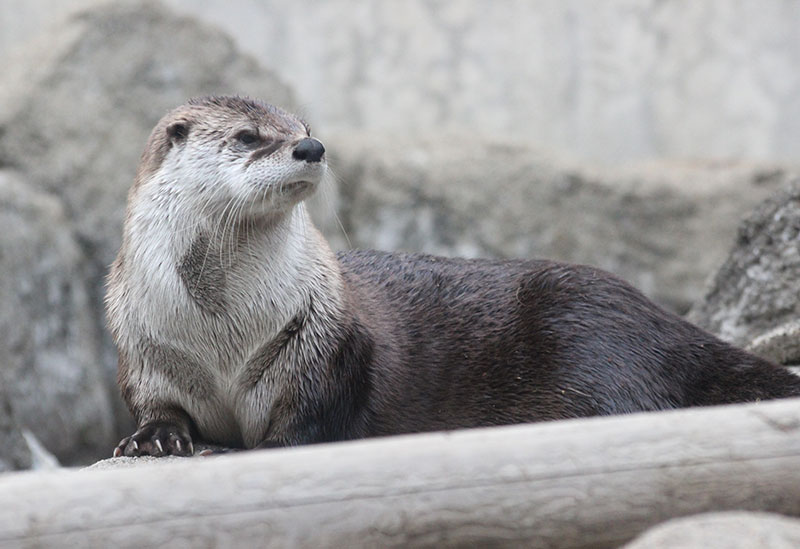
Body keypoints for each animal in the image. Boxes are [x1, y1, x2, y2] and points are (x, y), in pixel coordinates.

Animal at [108, 96, 800, 456]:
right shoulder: (143, 348)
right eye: (250, 137)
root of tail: (663, 322)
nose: (312, 148)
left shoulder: (322, 347)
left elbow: (311, 422)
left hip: (590, 336)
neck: (220, 331)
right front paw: (153, 438)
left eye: (304, 127)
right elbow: (156, 403)